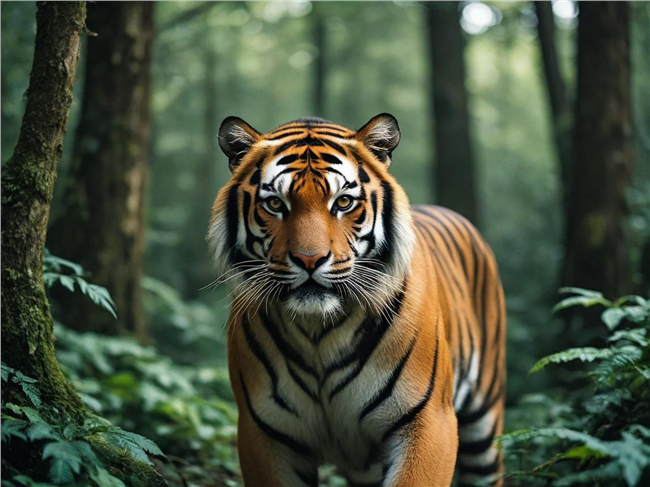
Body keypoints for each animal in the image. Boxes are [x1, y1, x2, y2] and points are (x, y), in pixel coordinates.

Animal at [208, 114, 507, 487]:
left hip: (484, 423)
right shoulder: (264, 431)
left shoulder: (427, 420)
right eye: (275, 203)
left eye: (343, 202)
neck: (317, 332)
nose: (309, 260)